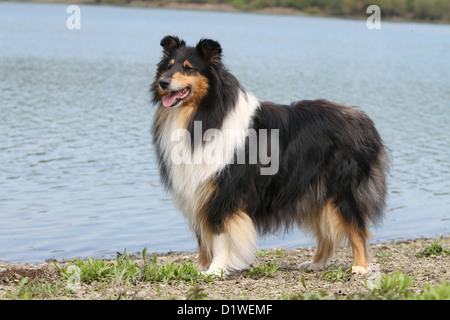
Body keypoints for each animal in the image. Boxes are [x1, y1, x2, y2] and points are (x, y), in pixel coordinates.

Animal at [152, 35, 390, 276]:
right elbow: (202, 236)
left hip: (341, 190)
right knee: (326, 231)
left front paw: (215, 270)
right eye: (168, 66)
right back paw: (316, 263)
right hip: (315, 191)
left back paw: (359, 267)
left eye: (188, 68)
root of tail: (364, 120)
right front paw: (200, 267)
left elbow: (218, 235)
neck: (203, 113)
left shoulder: (223, 192)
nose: (163, 82)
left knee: (357, 228)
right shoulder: (196, 191)